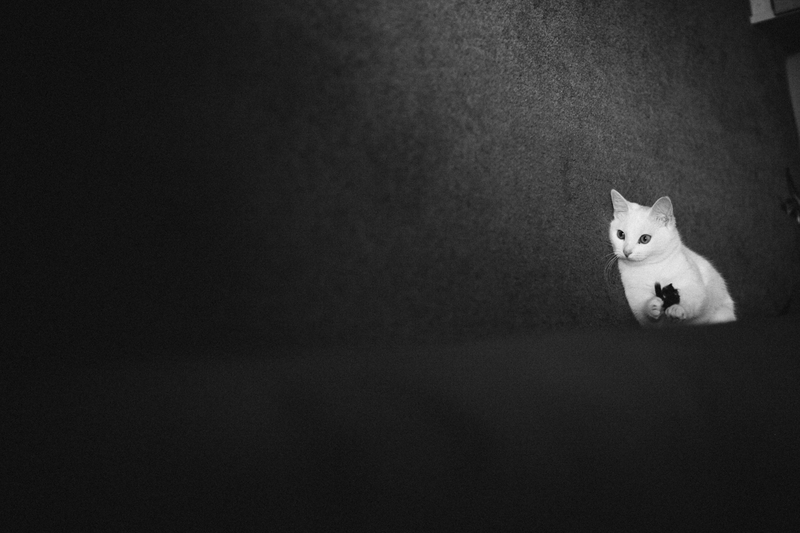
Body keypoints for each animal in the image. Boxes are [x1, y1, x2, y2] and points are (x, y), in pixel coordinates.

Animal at [608, 189, 736, 326]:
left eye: (645, 239)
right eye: (620, 234)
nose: (626, 251)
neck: (651, 266)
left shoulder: (694, 282)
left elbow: (695, 299)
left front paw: (677, 309)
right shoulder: (635, 296)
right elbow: (644, 312)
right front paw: (652, 305)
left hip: (722, 313)